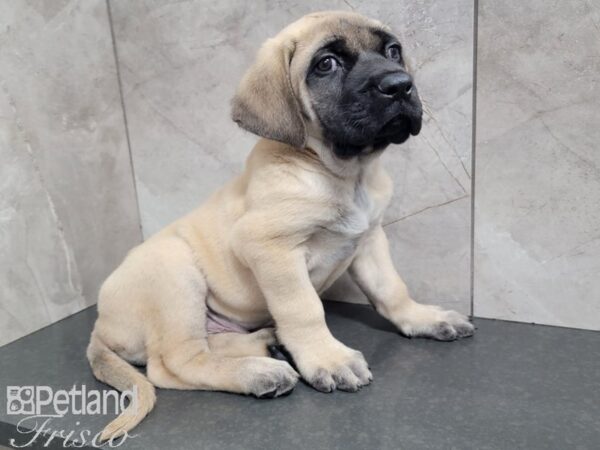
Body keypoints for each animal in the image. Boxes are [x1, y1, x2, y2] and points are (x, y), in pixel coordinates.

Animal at [88, 10, 474, 440]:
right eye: (326, 64)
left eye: (392, 51)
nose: (399, 84)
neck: (343, 174)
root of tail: (100, 328)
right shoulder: (270, 248)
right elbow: (304, 309)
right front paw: (328, 358)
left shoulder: (370, 238)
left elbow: (391, 289)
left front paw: (424, 318)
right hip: (174, 272)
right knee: (173, 363)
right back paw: (258, 372)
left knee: (205, 345)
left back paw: (265, 343)